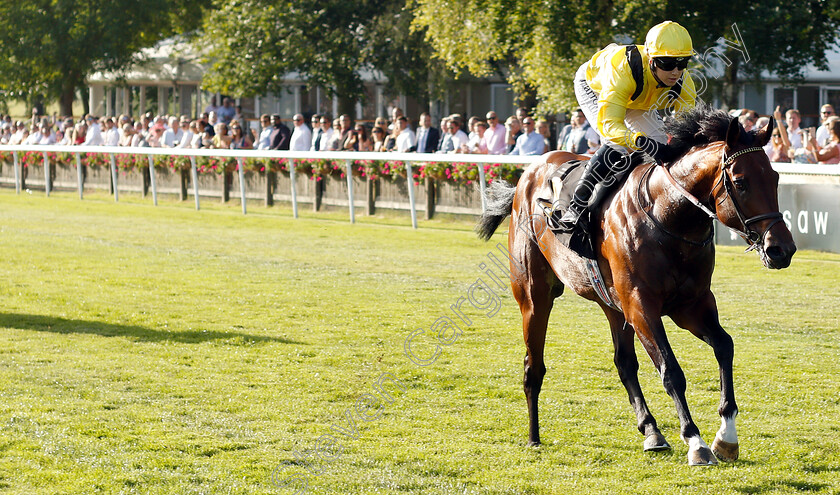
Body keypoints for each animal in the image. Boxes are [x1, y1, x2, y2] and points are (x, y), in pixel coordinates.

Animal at [476, 106, 796, 466]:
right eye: (740, 182)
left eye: (775, 178)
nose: (781, 249)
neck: (668, 216)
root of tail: (530, 173)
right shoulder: (642, 305)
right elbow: (671, 370)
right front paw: (695, 441)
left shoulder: (691, 304)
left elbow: (724, 346)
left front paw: (726, 436)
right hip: (535, 296)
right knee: (534, 366)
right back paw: (534, 436)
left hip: (613, 304)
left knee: (624, 363)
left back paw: (652, 431)